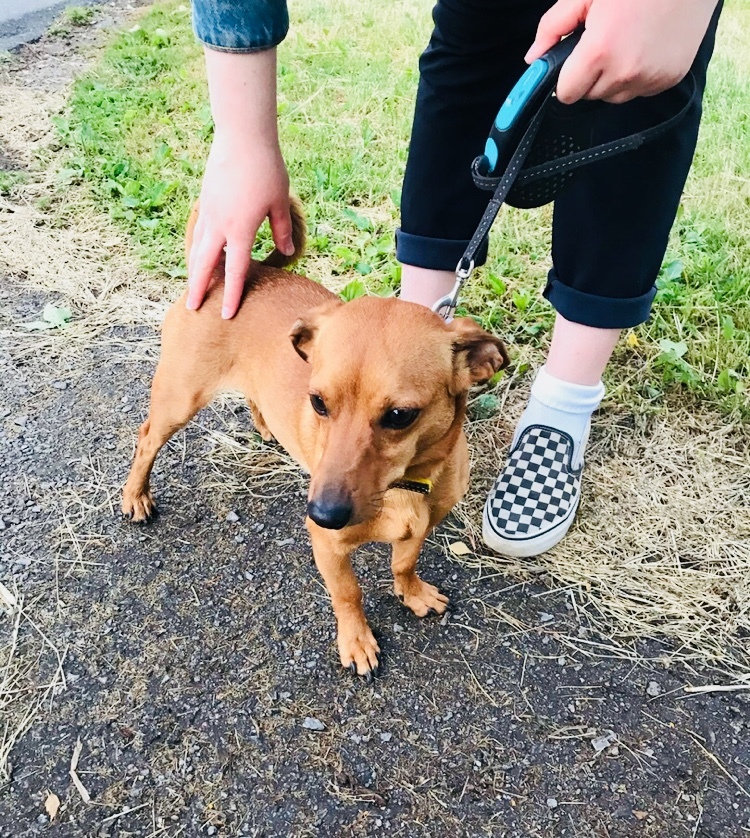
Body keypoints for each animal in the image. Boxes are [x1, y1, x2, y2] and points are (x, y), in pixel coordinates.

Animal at [123, 199, 512, 684]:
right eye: (318, 403)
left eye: (400, 416)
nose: (324, 513)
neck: (406, 486)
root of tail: (237, 270)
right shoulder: (328, 548)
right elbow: (348, 595)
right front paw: (357, 641)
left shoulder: (422, 528)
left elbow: (403, 563)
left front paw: (411, 592)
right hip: (178, 400)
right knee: (145, 440)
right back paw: (136, 495)